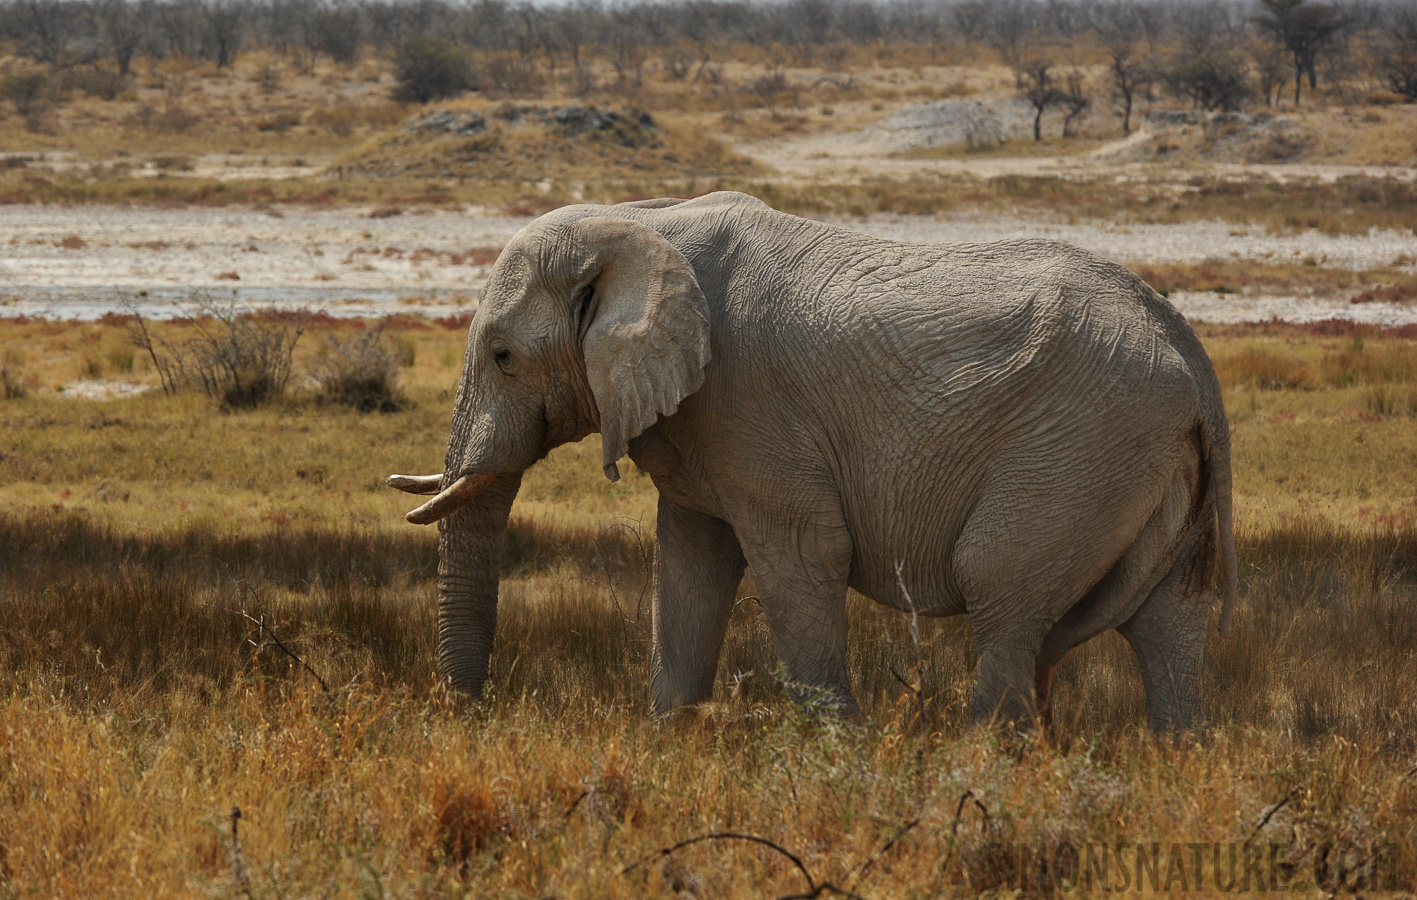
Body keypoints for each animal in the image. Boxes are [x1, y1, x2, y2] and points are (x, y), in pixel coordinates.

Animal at [388, 189, 1241, 731]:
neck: (636, 220)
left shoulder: (753, 405)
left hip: (1081, 448)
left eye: (502, 357)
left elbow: (799, 555)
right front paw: (671, 744)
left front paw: (841, 754)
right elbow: (691, 561)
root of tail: (1185, 347)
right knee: (1169, 623)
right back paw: (1175, 761)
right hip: (1144, 466)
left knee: (1000, 593)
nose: (473, 718)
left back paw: (985, 762)